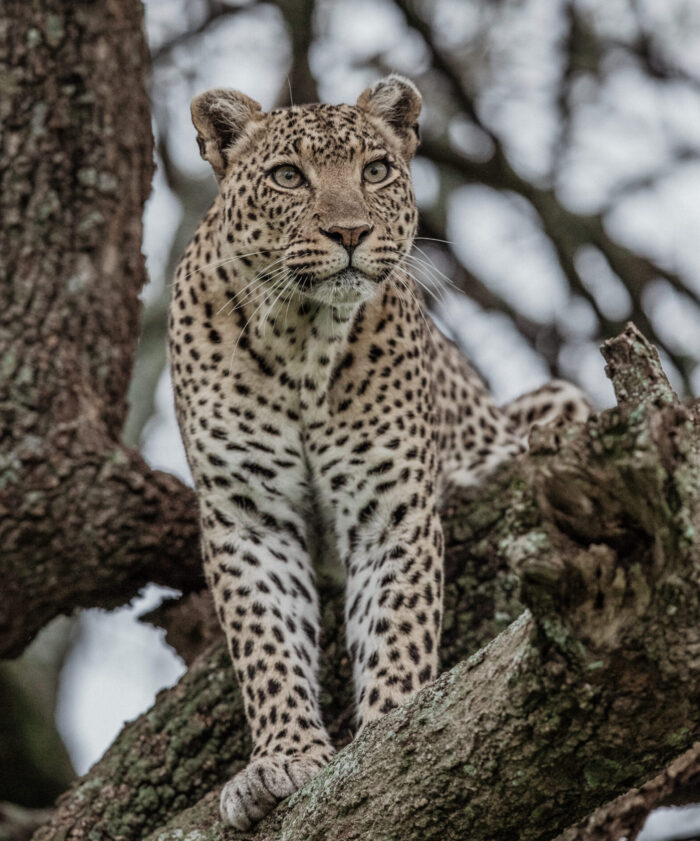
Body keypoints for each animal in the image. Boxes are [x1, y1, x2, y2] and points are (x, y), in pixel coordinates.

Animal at [170, 74, 592, 828]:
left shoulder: (391, 507)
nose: (349, 232)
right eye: (288, 177)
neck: (300, 339)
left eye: (375, 171)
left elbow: (397, 621)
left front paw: (389, 733)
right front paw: (281, 756)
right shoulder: (247, 515)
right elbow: (266, 642)